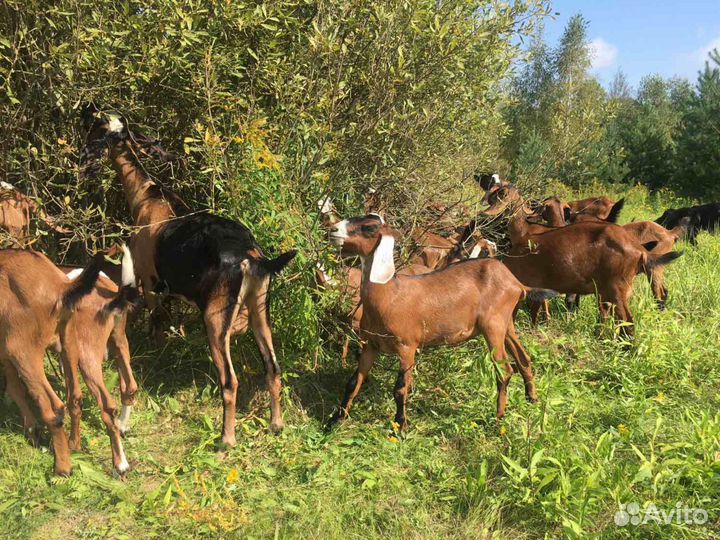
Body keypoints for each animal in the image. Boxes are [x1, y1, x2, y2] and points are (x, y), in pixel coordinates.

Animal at [80, 107, 296, 446]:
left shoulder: (150, 283)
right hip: (261, 311)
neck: (147, 196)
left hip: (216, 321)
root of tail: (251, 257)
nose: (84, 115)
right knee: (272, 369)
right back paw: (276, 424)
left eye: (97, 128)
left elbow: (157, 326)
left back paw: (226, 439)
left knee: (230, 381)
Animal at [326, 214, 554, 430]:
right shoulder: (370, 345)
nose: (333, 230)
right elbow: (353, 382)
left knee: (505, 370)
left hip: (493, 326)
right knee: (523, 358)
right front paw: (334, 421)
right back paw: (532, 399)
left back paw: (499, 418)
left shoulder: (407, 346)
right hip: (507, 324)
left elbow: (400, 388)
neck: (389, 294)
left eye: (369, 227)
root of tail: (517, 283)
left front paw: (400, 426)